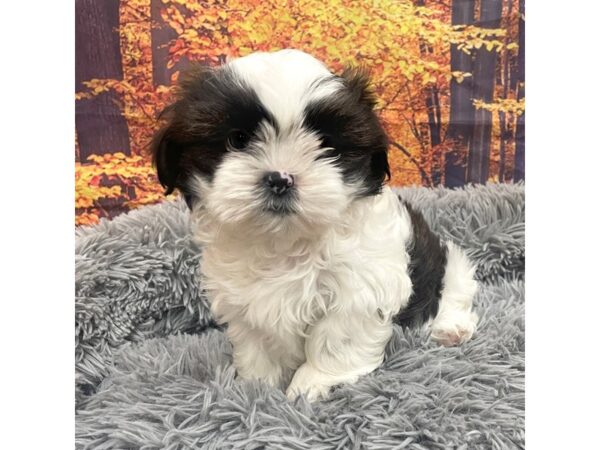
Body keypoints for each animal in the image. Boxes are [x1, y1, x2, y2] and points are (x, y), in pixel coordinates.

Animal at [150, 48, 478, 400]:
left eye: (326, 145)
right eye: (237, 139)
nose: (280, 178)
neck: (284, 243)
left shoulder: (360, 287)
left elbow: (337, 337)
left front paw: (315, 382)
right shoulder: (246, 303)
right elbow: (257, 347)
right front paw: (257, 388)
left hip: (450, 263)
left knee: (454, 291)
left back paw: (450, 328)